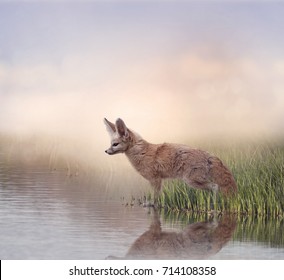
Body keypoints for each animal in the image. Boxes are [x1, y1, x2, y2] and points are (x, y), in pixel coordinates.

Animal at [104, 117, 237, 205]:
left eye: (115, 144)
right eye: (111, 144)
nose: (106, 151)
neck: (141, 152)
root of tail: (210, 155)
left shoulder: (155, 180)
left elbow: (155, 199)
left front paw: (151, 205)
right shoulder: (158, 180)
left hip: (192, 181)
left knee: (215, 187)